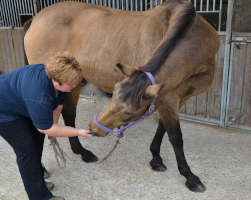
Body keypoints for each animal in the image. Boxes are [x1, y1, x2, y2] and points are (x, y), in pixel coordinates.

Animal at [23, 0, 220, 192]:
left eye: (128, 112)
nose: (94, 129)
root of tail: (34, 19)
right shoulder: (167, 97)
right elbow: (176, 137)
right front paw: (190, 177)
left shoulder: (177, 97)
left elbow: (163, 128)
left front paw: (156, 158)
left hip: (73, 81)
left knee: (69, 113)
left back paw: (82, 152)